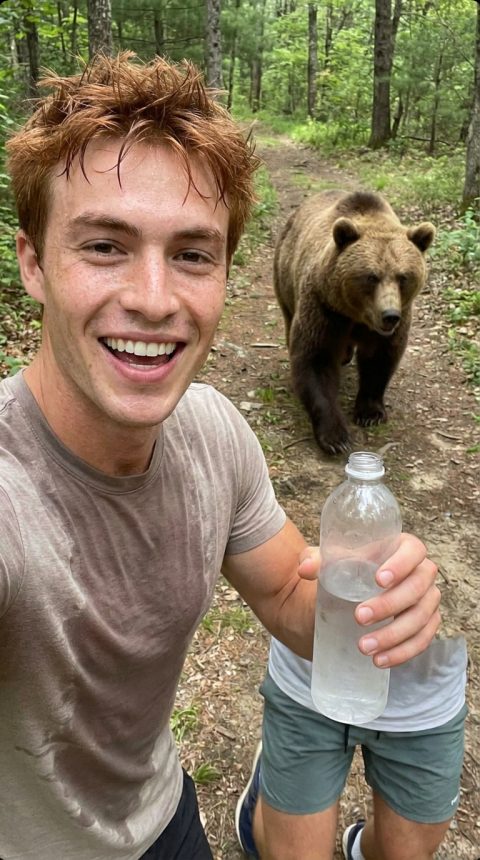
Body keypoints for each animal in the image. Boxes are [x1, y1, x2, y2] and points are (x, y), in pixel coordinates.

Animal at [273, 190, 435, 455]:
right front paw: (336, 437)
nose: (390, 315)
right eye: (371, 276)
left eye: (403, 277)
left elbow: (380, 360)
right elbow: (315, 359)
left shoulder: (392, 324)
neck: (358, 315)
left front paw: (370, 412)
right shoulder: (325, 308)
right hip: (284, 275)